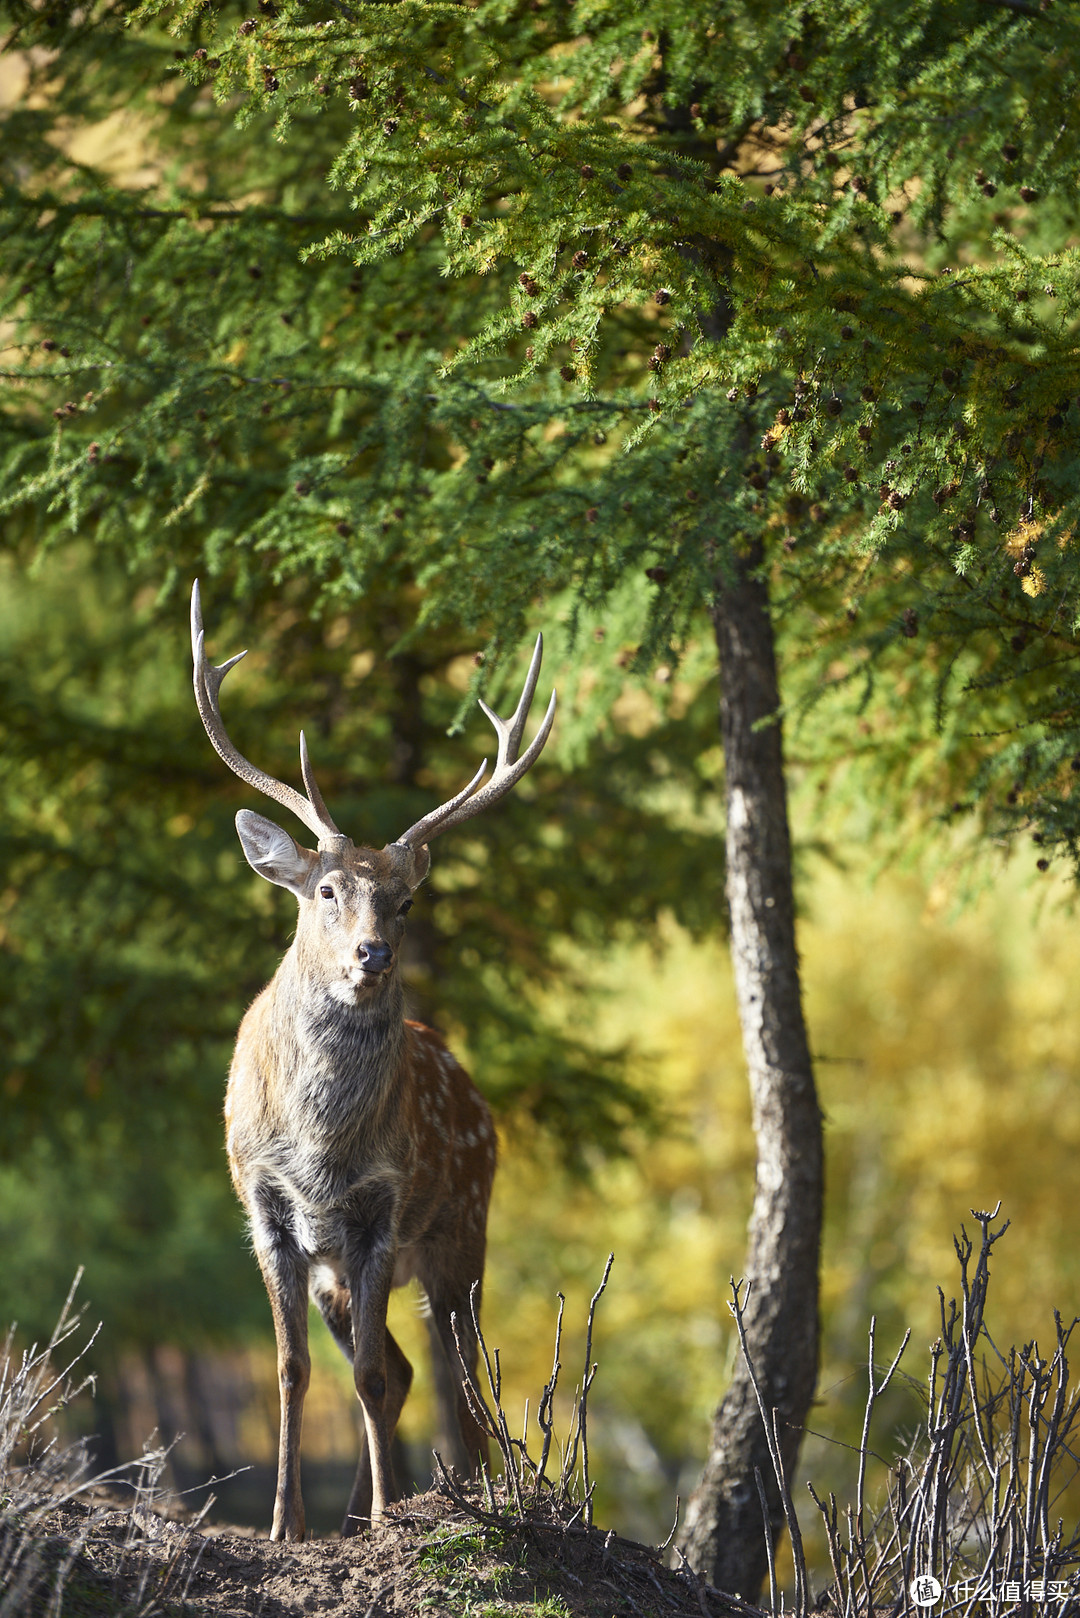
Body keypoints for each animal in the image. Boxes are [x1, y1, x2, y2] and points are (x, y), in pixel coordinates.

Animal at [187, 585, 557, 1540]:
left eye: (405, 901)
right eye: (326, 889)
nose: (374, 954)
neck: (320, 1146)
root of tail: (480, 1099)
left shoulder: (382, 1208)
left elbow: (365, 1374)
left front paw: (394, 1510)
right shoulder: (267, 1208)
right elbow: (295, 1372)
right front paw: (286, 1523)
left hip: (463, 1224)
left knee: (453, 1372)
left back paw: (463, 1498)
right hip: (345, 1270)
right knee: (406, 1367)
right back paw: (355, 1513)